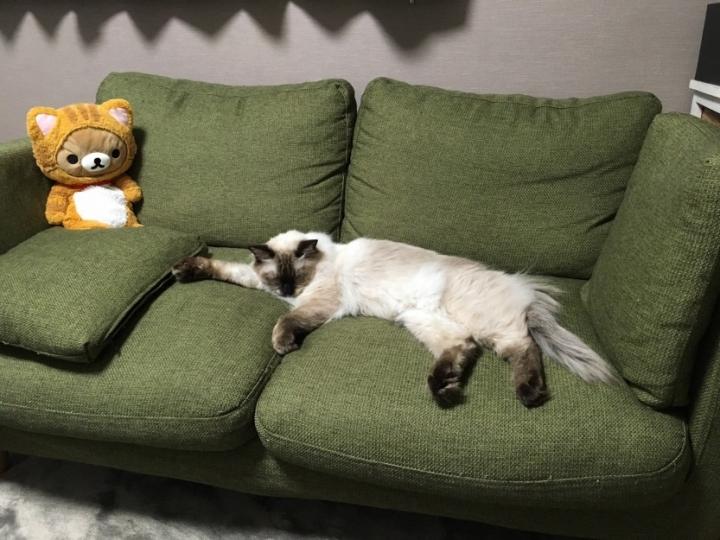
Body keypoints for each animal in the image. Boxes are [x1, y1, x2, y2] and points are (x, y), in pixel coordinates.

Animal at [172, 230, 618, 408]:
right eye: (275, 278)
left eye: (295, 276)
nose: (285, 293)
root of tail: (520, 286)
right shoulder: (256, 280)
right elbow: (224, 267)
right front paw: (183, 269)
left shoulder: (318, 303)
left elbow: (287, 323)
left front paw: (283, 344)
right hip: (422, 321)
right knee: (464, 348)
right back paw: (444, 388)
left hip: (479, 323)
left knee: (523, 347)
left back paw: (527, 394)